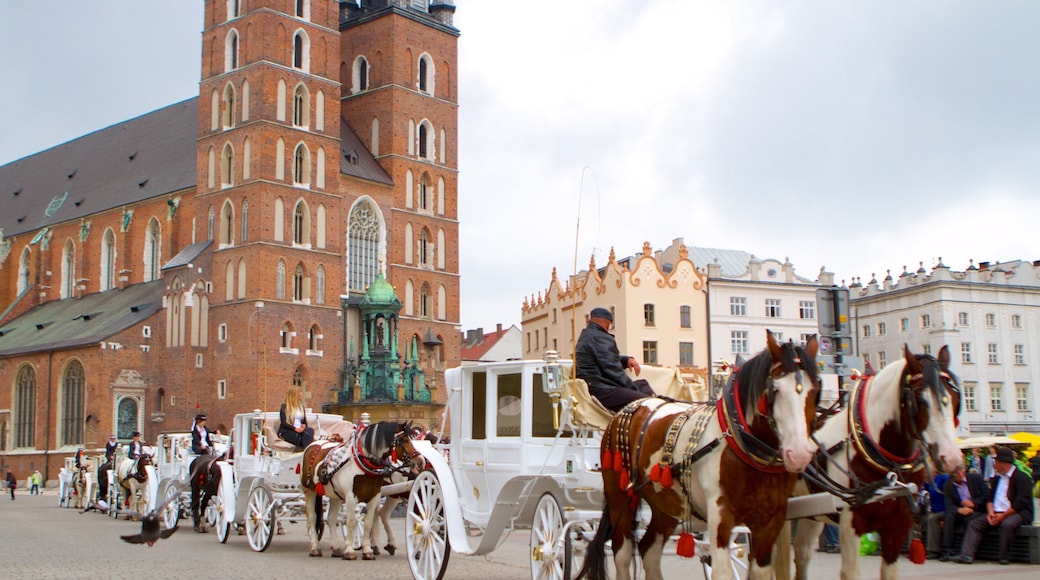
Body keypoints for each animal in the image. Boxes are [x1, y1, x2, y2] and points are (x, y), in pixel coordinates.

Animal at [301, 419, 422, 561]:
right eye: (404, 440)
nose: (420, 461)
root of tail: (315, 443)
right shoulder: (350, 497)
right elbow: (351, 521)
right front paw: (349, 551)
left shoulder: (374, 495)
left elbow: (368, 522)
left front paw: (367, 551)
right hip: (309, 491)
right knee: (312, 517)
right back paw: (315, 548)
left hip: (335, 495)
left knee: (331, 518)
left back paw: (336, 548)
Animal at [586, 332, 819, 580]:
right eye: (775, 390)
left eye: (816, 390)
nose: (799, 454)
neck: (744, 447)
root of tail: (631, 407)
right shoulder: (720, 516)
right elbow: (722, 572)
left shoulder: (771, 521)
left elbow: (761, 572)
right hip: (619, 495)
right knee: (622, 553)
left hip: (665, 503)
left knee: (649, 549)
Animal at [786, 345, 965, 580]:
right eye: (920, 401)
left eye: (955, 399)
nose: (952, 458)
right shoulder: (851, 524)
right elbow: (851, 572)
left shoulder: (897, 527)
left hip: (812, 511)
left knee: (802, 553)